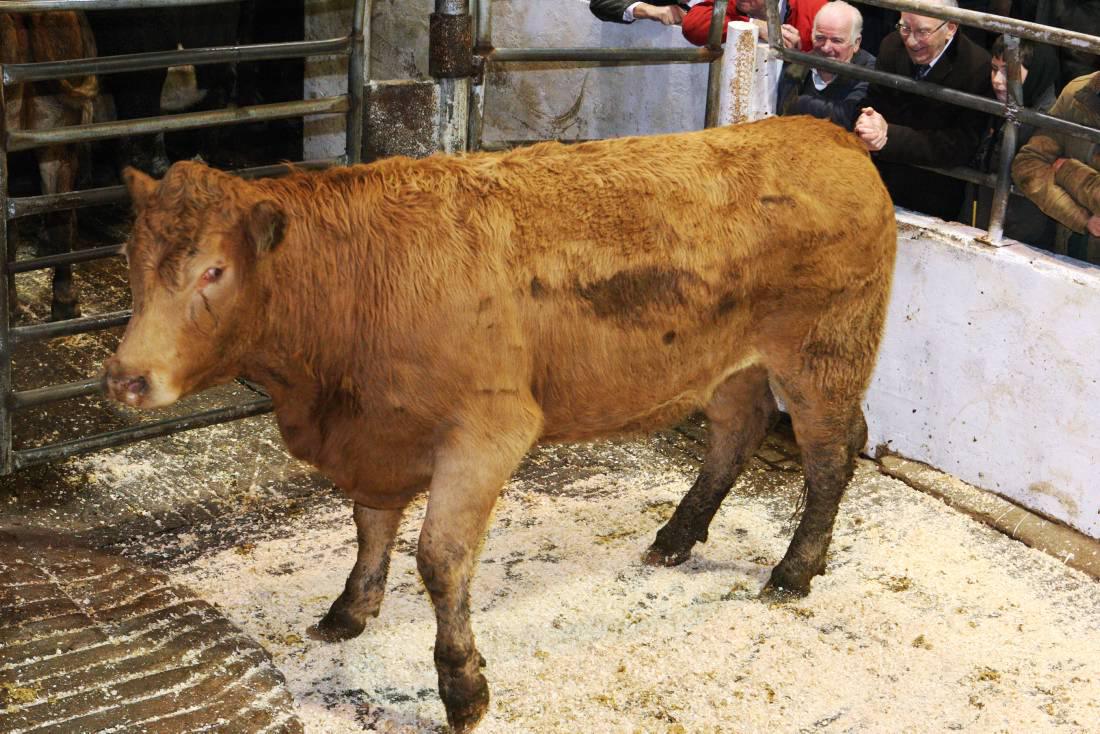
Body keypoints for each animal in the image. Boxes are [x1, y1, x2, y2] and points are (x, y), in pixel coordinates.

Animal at [103, 115, 896, 732]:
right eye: (131, 256)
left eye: (213, 270)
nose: (125, 377)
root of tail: (828, 135)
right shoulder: (378, 440)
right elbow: (370, 527)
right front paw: (349, 610)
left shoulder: (487, 430)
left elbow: (439, 559)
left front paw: (463, 686)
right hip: (732, 365)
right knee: (737, 432)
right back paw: (676, 536)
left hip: (824, 356)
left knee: (830, 455)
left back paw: (794, 569)